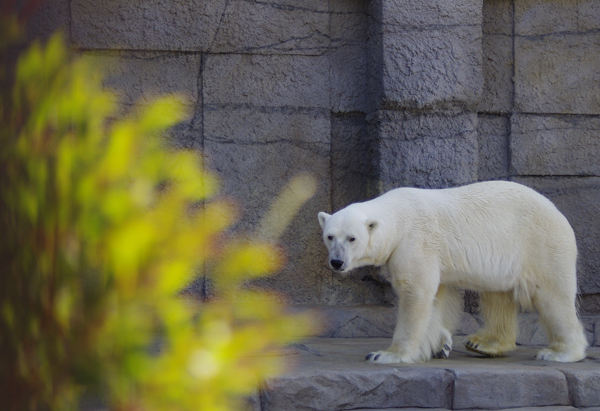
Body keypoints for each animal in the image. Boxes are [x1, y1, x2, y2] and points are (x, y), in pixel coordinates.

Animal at [318, 181, 584, 364]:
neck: (399, 215)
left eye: (352, 238)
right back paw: (483, 343)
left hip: (540, 243)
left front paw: (386, 354)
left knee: (552, 296)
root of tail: (558, 213)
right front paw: (440, 345)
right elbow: (438, 297)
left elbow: (416, 292)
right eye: (330, 236)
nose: (337, 262)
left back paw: (560, 353)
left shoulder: (414, 242)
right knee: (497, 295)